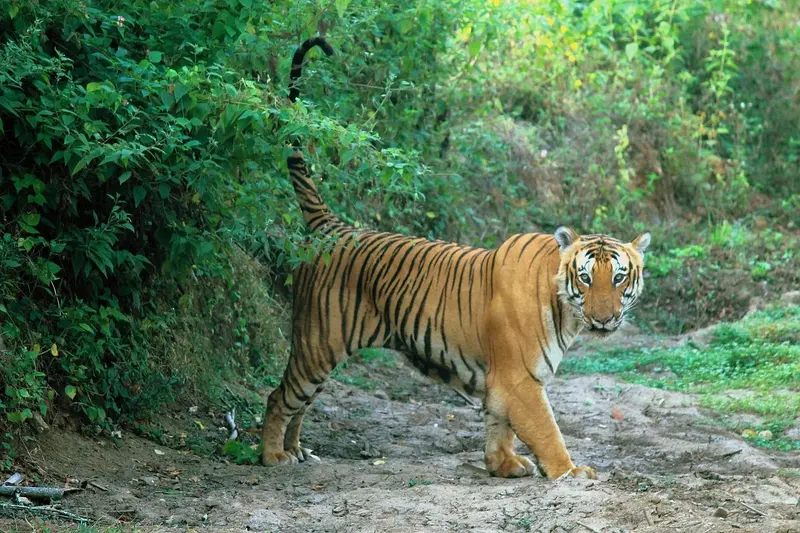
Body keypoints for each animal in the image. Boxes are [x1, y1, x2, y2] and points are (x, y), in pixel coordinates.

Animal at [261, 36, 651, 480]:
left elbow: (499, 425)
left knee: (301, 403)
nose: (604, 319)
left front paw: (503, 464)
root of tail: (333, 225)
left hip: (323, 354)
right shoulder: (519, 379)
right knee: (280, 396)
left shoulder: (502, 382)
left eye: (618, 278)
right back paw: (272, 456)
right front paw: (570, 472)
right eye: (586, 278)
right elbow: (546, 430)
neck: (565, 310)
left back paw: (296, 449)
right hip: (317, 342)